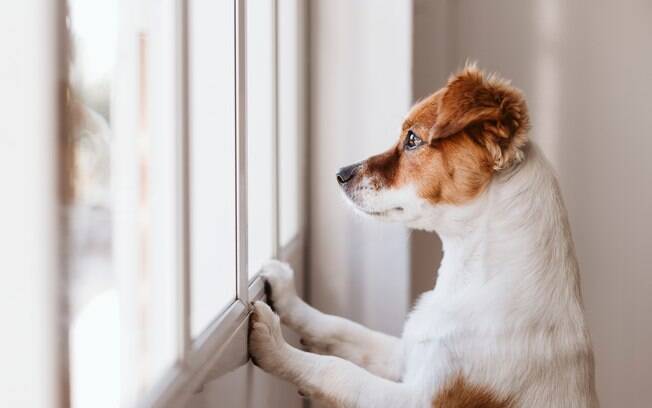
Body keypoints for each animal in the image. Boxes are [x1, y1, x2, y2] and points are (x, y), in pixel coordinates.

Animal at [247, 65, 600, 406]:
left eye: (413, 139)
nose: (340, 174)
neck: (470, 280)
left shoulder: (420, 398)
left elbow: (338, 372)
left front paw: (274, 344)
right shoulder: (408, 355)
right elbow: (341, 327)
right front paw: (286, 294)